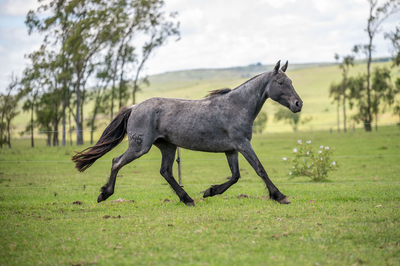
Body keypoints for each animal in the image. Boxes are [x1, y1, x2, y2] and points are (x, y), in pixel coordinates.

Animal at [72, 60, 304, 206]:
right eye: (281, 82)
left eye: (292, 82)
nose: (298, 104)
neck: (237, 105)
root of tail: (135, 106)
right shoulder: (242, 144)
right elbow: (259, 169)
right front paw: (280, 196)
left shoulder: (231, 149)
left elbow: (235, 176)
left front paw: (210, 191)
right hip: (140, 147)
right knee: (116, 162)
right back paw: (104, 194)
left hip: (167, 146)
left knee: (166, 172)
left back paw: (188, 199)